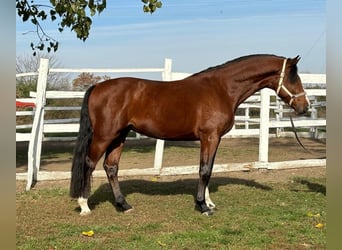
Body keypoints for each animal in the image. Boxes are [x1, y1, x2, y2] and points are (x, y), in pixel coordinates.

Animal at [69, 53, 310, 216]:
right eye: (293, 78)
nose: (304, 107)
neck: (221, 89)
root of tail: (98, 87)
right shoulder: (209, 137)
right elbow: (204, 170)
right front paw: (202, 206)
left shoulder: (214, 138)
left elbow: (209, 169)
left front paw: (208, 202)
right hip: (105, 136)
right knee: (89, 163)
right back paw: (84, 205)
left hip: (120, 136)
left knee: (111, 167)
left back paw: (123, 205)